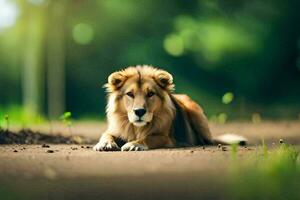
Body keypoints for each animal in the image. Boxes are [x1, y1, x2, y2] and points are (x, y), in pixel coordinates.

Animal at [94, 65, 246, 152]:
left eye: (150, 94)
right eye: (130, 94)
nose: (139, 112)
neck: (136, 128)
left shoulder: (167, 138)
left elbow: (149, 138)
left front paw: (134, 144)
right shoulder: (115, 130)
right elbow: (106, 135)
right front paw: (105, 144)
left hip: (195, 112)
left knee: (208, 140)